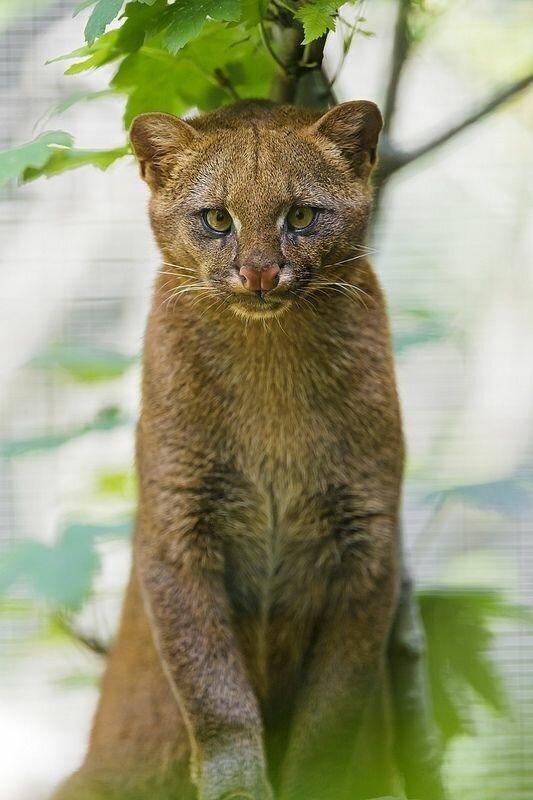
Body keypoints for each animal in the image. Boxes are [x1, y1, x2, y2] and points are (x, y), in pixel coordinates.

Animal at [52, 100, 436, 800]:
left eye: (301, 215)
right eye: (216, 218)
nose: (259, 272)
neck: (271, 371)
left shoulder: (366, 546)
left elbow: (333, 710)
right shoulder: (178, 530)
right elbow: (214, 689)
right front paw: (237, 786)